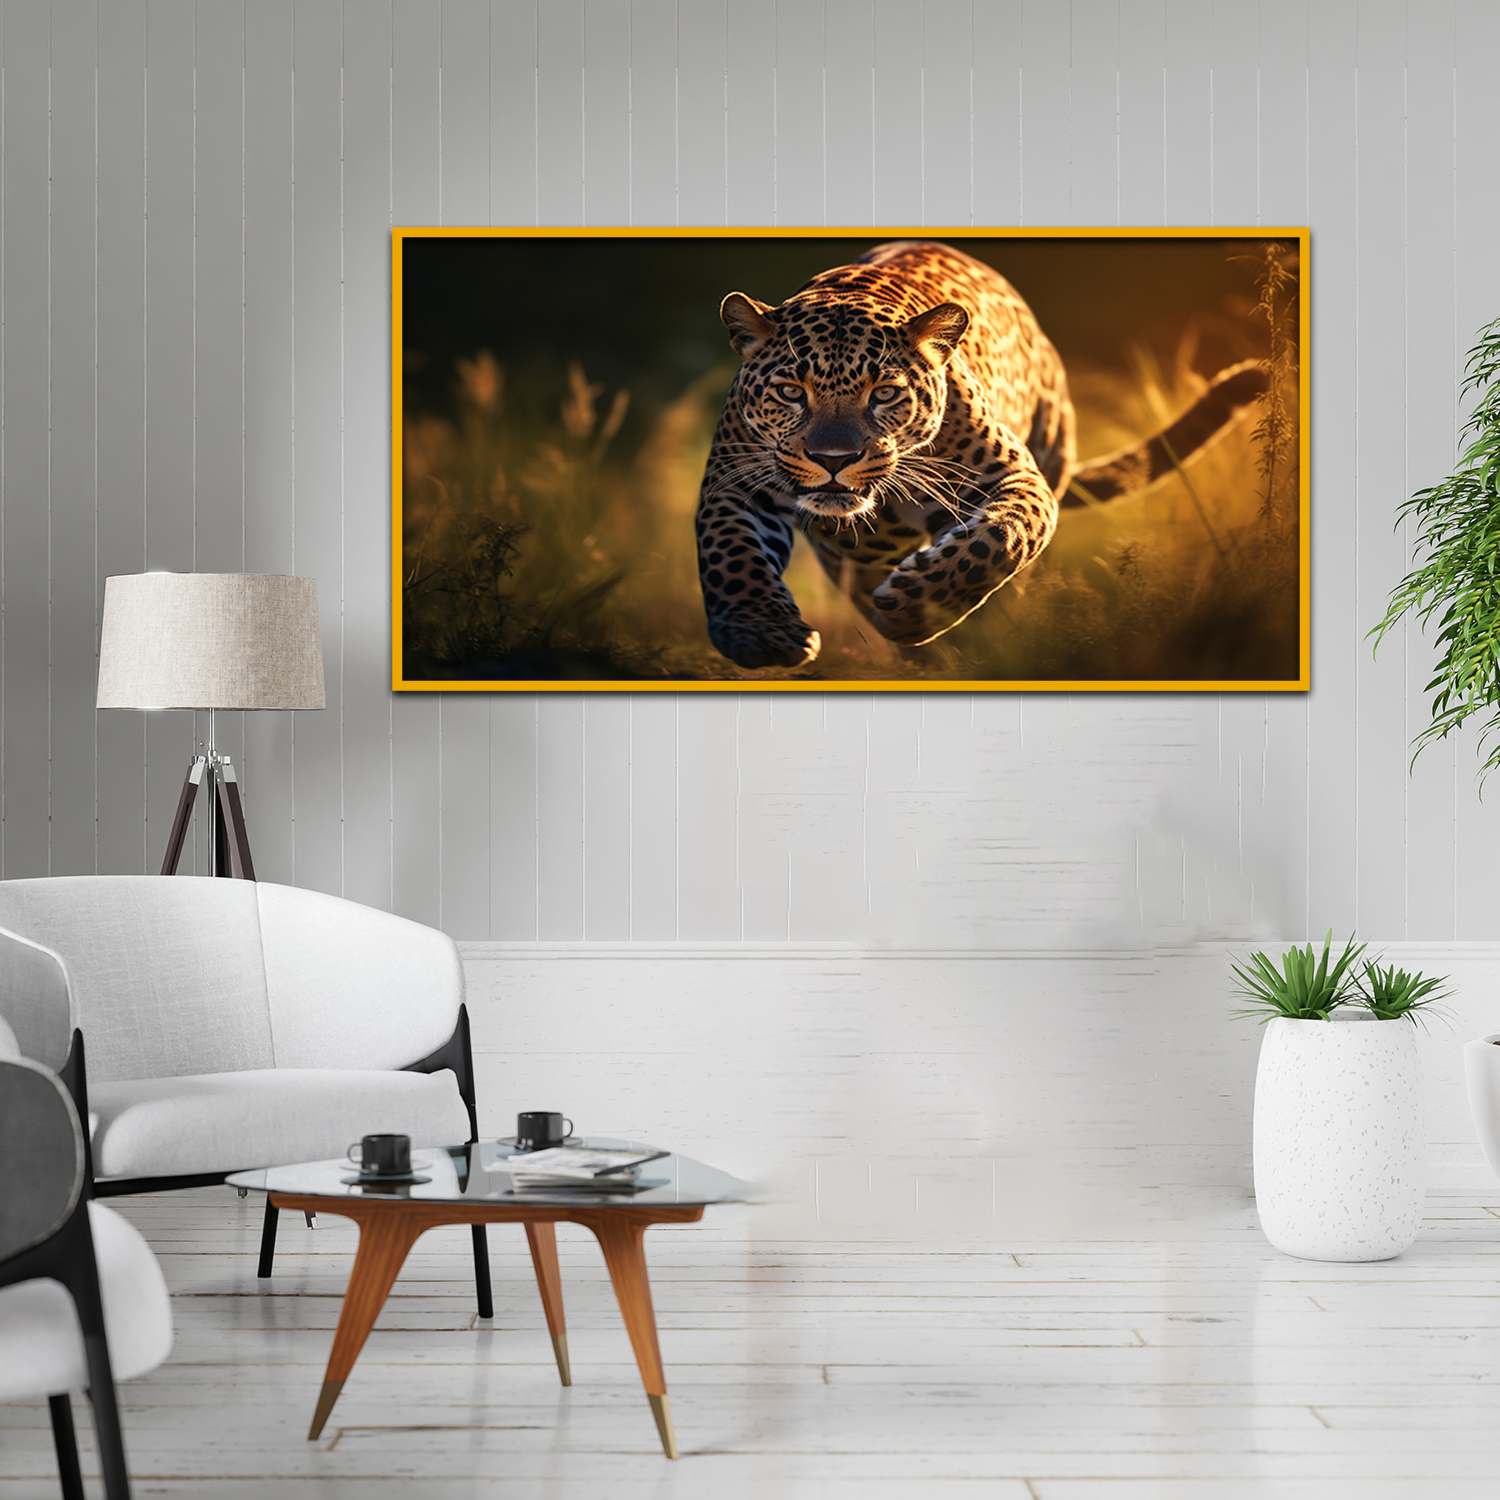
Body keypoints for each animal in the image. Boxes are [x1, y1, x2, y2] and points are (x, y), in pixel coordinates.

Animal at [694, 239, 1267, 670]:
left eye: (885, 393)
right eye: (792, 392)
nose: (834, 458)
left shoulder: (1013, 476)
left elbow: (998, 538)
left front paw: (917, 608)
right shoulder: (735, 482)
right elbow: (732, 555)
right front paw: (759, 633)